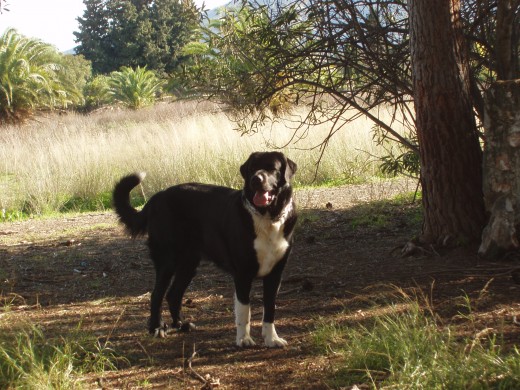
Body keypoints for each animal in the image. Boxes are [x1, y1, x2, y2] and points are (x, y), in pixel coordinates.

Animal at [113, 152, 296, 348]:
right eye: (252, 168)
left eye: (272, 168)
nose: (256, 179)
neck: (267, 217)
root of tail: (157, 197)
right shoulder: (242, 274)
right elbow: (243, 310)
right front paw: (243, 339)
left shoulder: (275, 274)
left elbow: (269, 309)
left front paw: (271, 339)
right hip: (168, 261)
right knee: (156, 295)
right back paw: (156, 328)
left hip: (189, 264)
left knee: (173, 294)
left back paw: (181, 325)